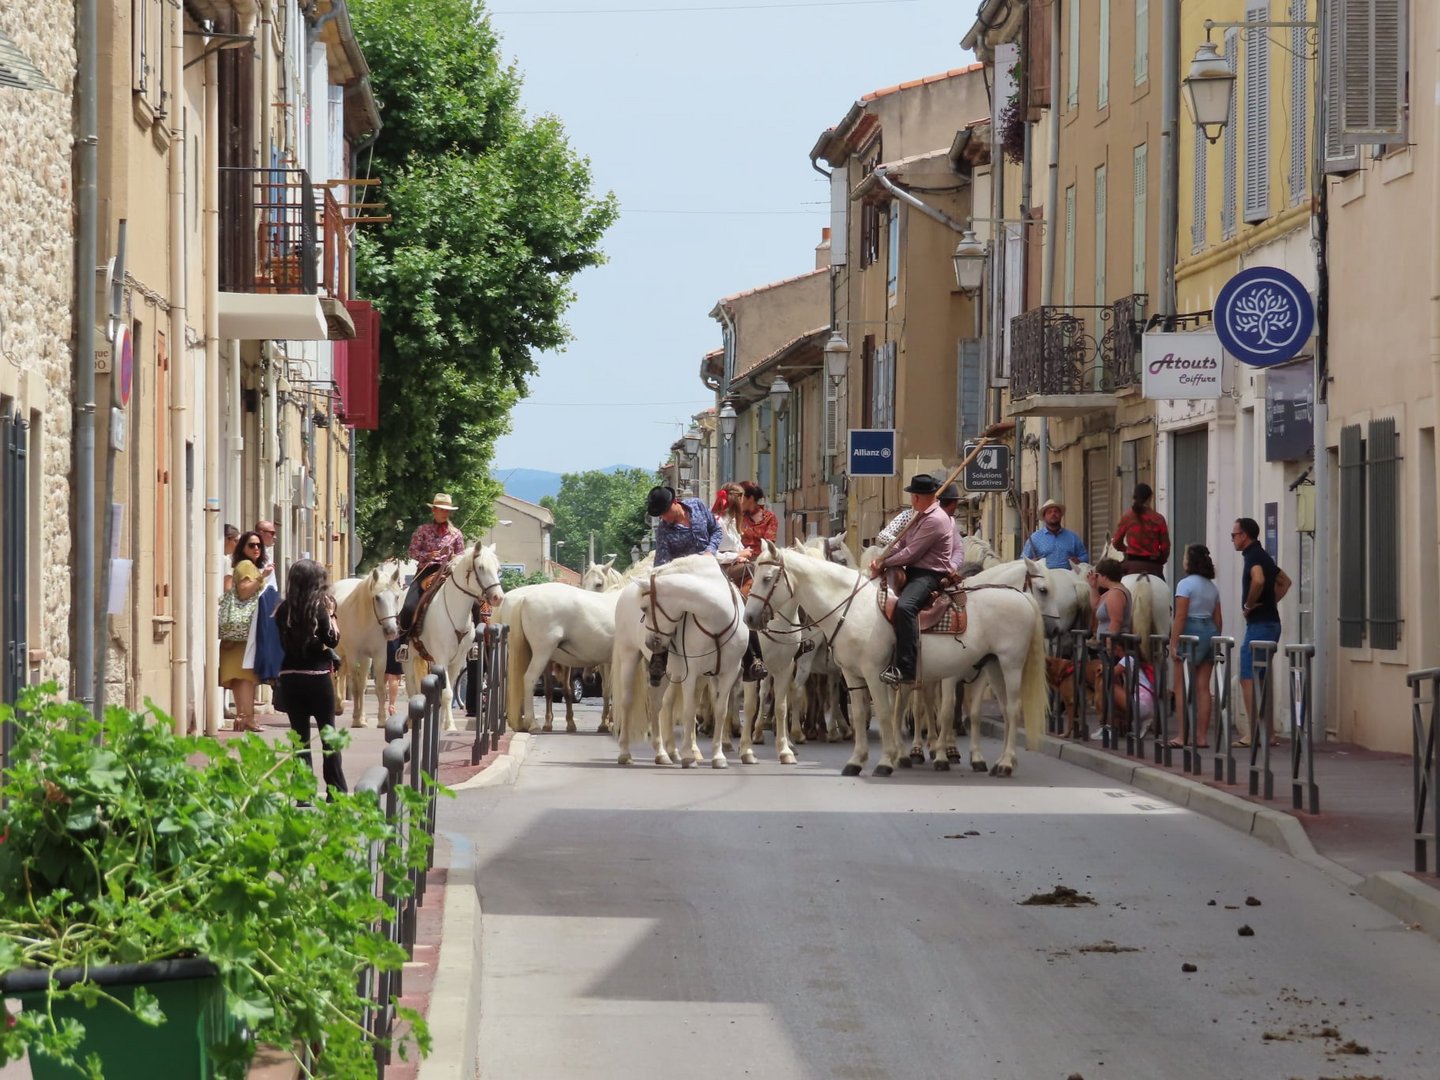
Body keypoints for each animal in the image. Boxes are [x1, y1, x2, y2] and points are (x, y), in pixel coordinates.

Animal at [331, 561, 406, 731]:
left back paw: (361, 716)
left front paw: (382, 721)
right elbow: (355, 687)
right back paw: (339, 707)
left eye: (397, 597)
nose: (391, 631)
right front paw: (356, 720)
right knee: (337, 677)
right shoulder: (353, 655)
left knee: (359, 681)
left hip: (365, 659)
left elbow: (379, 688)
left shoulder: (379, 656)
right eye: (377, 598)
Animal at [406, 541, 506, 737]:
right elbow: (447, 693)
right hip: (408, 658)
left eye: (498, 569)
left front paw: (445, 724)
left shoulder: (457, 660)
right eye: (481, 567)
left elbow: (449, 690)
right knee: (411, 687)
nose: (498, 598)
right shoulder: (442, 658)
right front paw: (449, 724)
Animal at [607, 558, 748, 771]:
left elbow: (721, 711)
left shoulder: (728, 672)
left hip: (668, 673)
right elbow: (689, 711)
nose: (650, 643)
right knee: (627, 701)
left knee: (657, 704)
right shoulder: (692, 672)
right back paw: (625, 752)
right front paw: (689, 756)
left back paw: (662, 754)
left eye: (645, 608)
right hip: (629, 656)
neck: (717, 620)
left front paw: (718, 756)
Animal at [743, 544, 1048, 783]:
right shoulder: (851, 675)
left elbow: (887, 713)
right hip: (994, 666)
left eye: (767, 578)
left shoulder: (875, 673)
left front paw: (885, 762)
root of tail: (1021, 596)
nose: (749, 618)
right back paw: (1002, 762)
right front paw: (856, 761)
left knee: (1012, 709)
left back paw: (1005, 763)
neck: (853, 607)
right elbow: (860, 714)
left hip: (1010, 664)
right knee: (1006, 711)